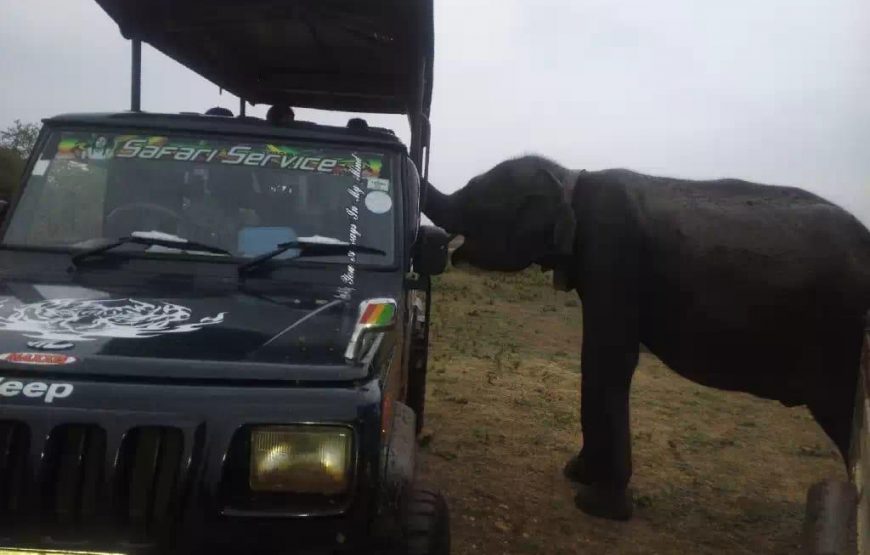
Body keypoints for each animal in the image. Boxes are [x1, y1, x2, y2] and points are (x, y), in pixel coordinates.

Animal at [426, 156, 870, 520]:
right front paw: (578, 473)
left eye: (475, 199)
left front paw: (598, 504)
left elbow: (609, 357)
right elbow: (596, 359)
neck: (571, 176)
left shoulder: (613, 249)